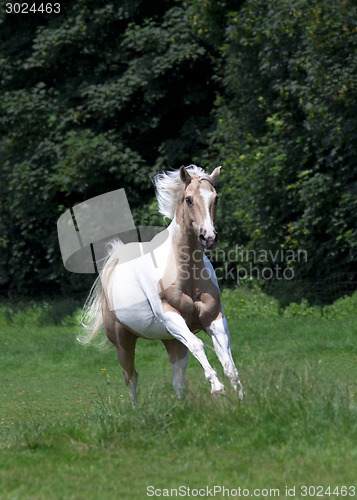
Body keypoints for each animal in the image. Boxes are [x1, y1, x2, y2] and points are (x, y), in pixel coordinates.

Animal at [80, 166, 242, 400]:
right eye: (188, 199)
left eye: (216, 198)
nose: (209, 237)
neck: (187, 274)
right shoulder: (170, 316)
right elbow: (198, 344)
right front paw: (217, 387)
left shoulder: (214, 318)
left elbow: (226, 357)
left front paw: (240, 396)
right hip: (123, 342)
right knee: (131, 378)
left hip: (172, 341)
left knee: (178, 383)